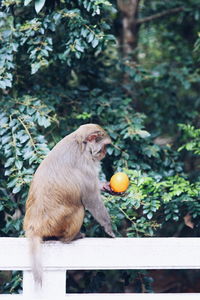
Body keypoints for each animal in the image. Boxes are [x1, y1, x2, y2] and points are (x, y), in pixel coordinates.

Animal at [22, 123, 115, 288]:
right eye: (104, 146)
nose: (104, 153)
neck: (80, 143)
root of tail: (33, 227)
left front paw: (105, 186)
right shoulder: (85, 163)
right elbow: (90, 198)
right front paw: (108, 226)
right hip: (57, 223)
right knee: (79, 207)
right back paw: (70, 237)